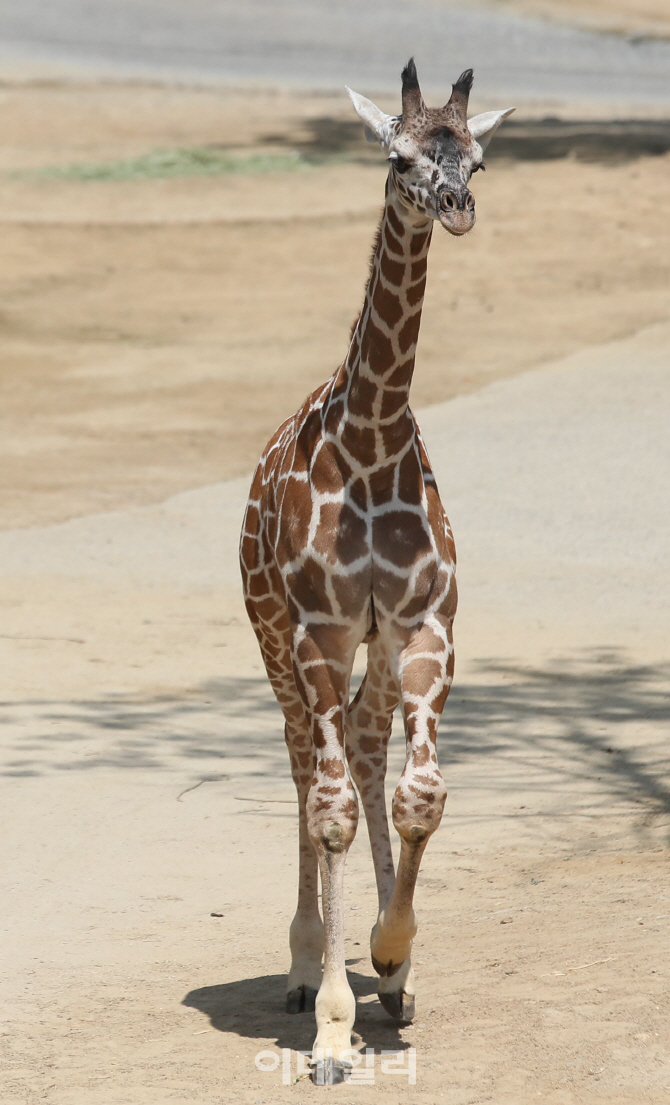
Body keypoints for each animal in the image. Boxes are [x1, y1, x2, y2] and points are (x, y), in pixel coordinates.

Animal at [239, 58, 515, 1078]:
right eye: (400, 156)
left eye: (475, 153)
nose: (456, 205)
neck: (373, 437)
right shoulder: (320, 630)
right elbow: (329, 812)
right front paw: (328, 1028)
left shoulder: (425, 624)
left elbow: (418, 793)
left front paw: (393, 958)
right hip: (271, 631)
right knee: (300, 761)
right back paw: (300, 961)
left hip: (378, 651)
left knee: (361, 742)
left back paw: (386, 978)